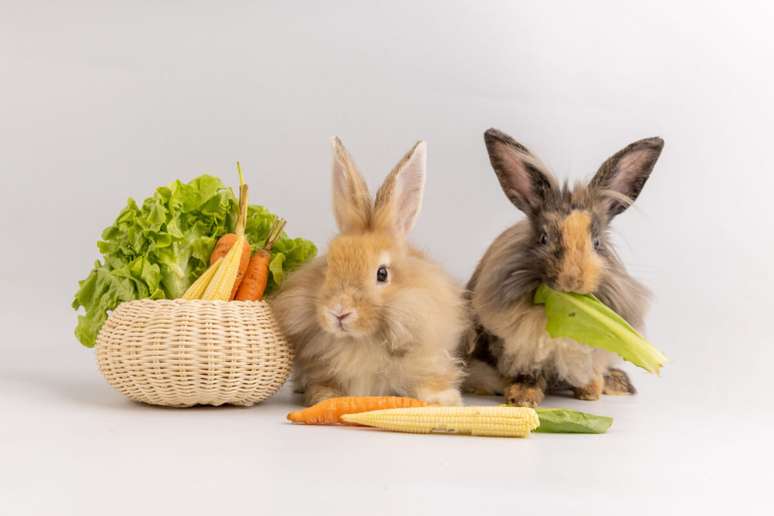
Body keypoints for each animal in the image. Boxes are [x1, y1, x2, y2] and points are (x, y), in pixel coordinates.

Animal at [272, 137, 466, 408]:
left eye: (382, 274)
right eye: (328, 266)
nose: (339, 311)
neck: (361, 341)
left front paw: (444, 401)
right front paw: (324, 398)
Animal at [464, 129, 664, 408]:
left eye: (597, 243)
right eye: (543, 238)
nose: (573, 280)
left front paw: (590, 393)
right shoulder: (520, 347)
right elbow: (528, 372)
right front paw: (522, 398)